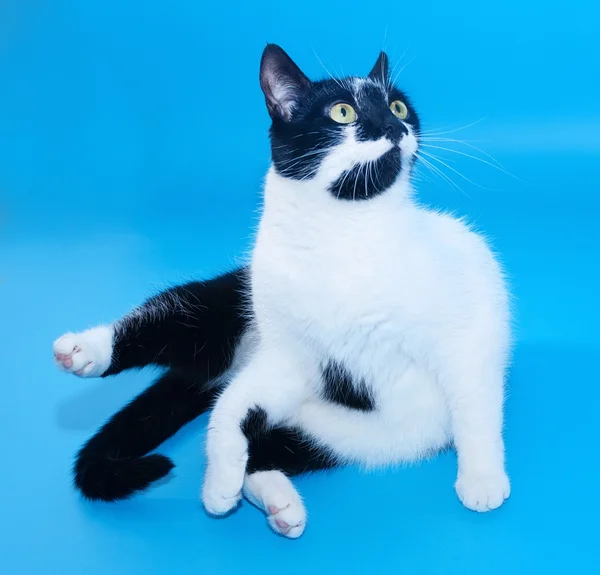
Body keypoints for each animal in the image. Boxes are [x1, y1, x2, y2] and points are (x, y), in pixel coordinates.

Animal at [52, 45, 510, 540]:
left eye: (398, 107)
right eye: (343, 112)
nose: (393, 126)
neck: (344, 233)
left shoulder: (462, 335)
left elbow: (474, 402)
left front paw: (482, 479)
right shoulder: (292, 357)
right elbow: (227, 411)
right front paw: (219, 482)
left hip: (343, 436)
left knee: (270, 447)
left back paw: (276, 503)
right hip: (227, 309)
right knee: (181, 331)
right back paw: (83, 352)